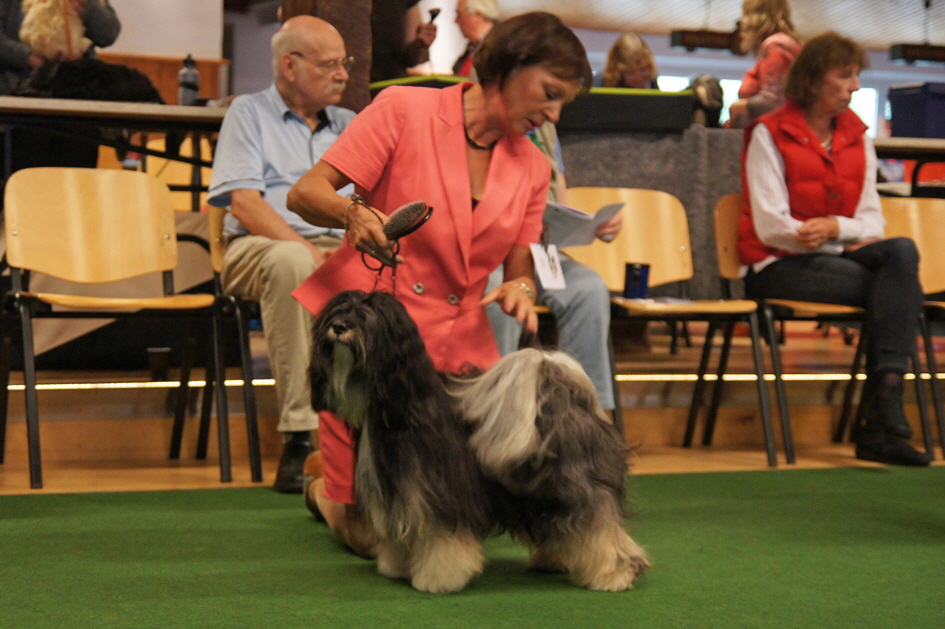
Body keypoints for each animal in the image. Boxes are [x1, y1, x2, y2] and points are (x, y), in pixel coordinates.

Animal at [314, 292, 644, 592]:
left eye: (366, 314)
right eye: (338, 310)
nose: (339, 327)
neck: (403, 405)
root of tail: (561, 388)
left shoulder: (443, 497)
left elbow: (443, 544)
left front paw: (437, 580)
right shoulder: (401, 497)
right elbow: (402, 538)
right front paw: (396, 565)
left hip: (576, 484)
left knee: (598, 527)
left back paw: (613, 575)